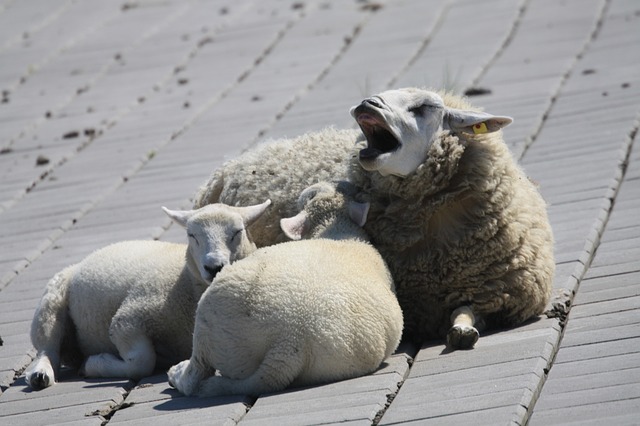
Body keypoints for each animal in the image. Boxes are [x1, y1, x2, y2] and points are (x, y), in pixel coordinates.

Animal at [24, 200, 270, 390]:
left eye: (237, 232)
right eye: (192, 235)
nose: (214, 266)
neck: (184, 284)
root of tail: (83, 261)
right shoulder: (128, 318)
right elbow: (142, 362)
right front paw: (94, 364)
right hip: (52, 300)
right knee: (47, 347)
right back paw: (41, 374)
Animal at [192, 87, 552, 350]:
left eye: (423, 106)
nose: (368, 103)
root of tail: (232, 164)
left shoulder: (496, 293)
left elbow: (466, 311)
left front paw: (462, 331)